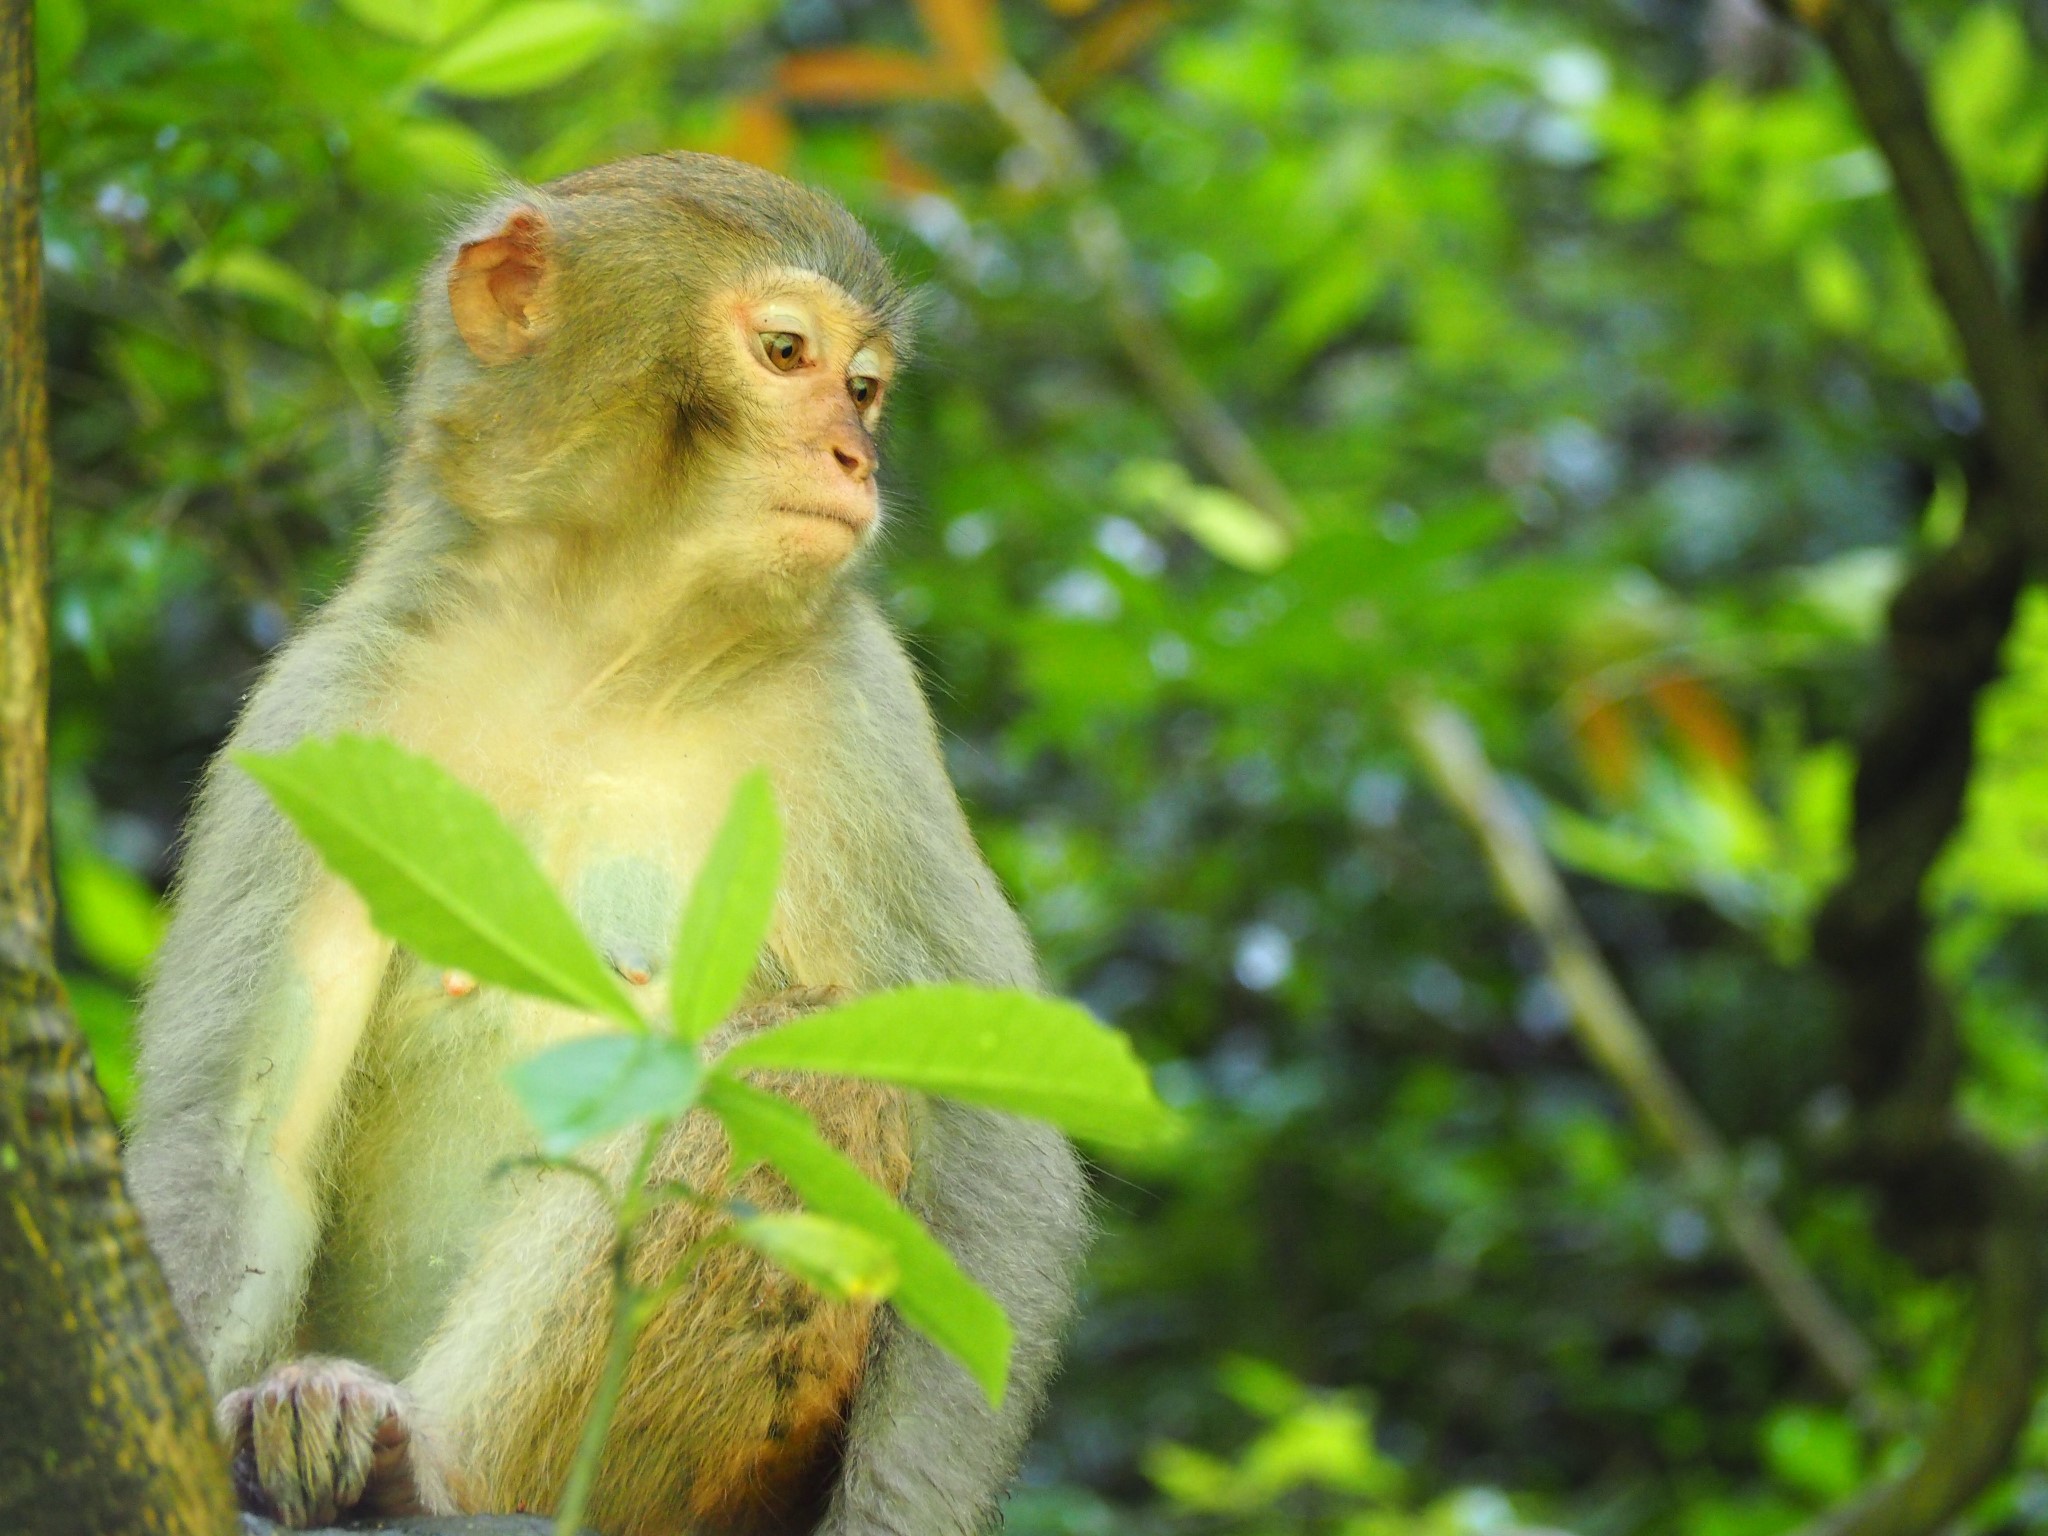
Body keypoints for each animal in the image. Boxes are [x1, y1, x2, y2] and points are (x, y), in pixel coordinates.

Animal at [125, 156, 1089, 1536]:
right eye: (786, 354)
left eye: (862, 388)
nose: (852, 456)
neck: (600, 645)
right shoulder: (320, 711)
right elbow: (244, 1133)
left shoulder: (863, 706)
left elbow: (990, 1132)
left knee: (799, 1078)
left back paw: (432, 1469)